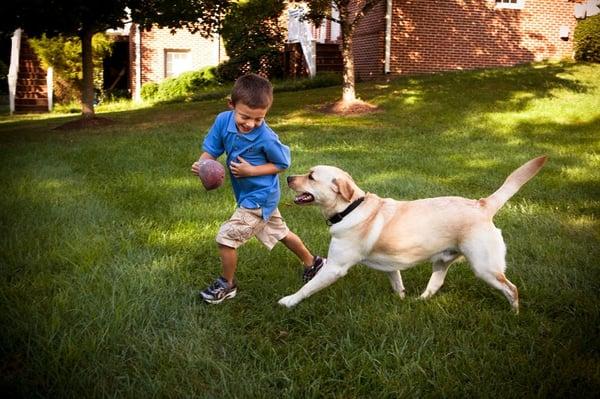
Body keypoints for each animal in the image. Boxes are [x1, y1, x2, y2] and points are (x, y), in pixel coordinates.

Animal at [278, 156, 548, 312]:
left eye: (311, 176)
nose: (288, 176)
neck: (350, 208)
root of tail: (482, 205)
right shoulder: (390, 265)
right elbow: (397, 283)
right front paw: (400, 300)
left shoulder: (335, 267)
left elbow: (308, 288)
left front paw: (289, 301)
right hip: (442, 261)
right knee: (435, 284)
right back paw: (419, 301)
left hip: (485, 267)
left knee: (512, 289)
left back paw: (514, 314)